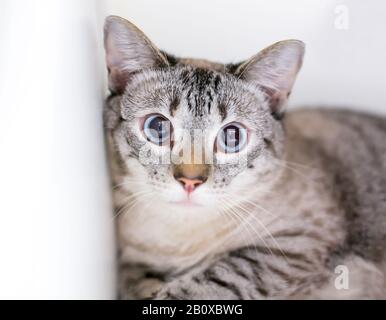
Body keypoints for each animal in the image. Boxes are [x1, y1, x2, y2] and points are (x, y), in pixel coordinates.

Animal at [102, 15, 386, 300]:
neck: (175, 241)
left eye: (232, 136)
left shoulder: (294, 246)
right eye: (157, 127)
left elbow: (215, 280)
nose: (190, 181)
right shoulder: (132, 264)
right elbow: (133, 281)